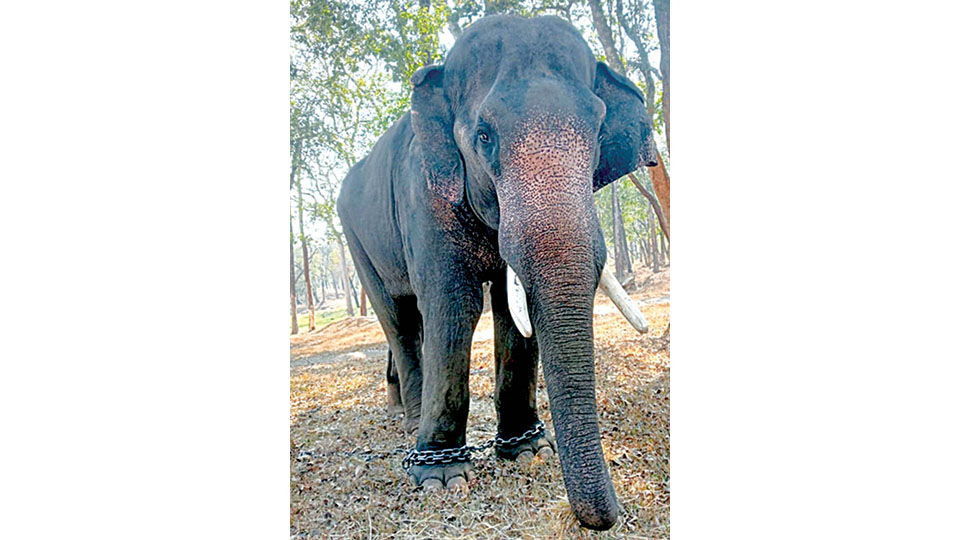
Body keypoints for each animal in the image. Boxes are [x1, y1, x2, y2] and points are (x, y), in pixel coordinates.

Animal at [336, 14, 657, 530]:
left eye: (598, 128)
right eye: (484, 135)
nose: (609, 518)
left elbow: (513, 310)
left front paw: (527, 451)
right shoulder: (425, 196)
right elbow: (454, 305)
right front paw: (442, 478)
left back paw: (399, 407)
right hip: (354, 234)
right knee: (399, 316)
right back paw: (410, 421)